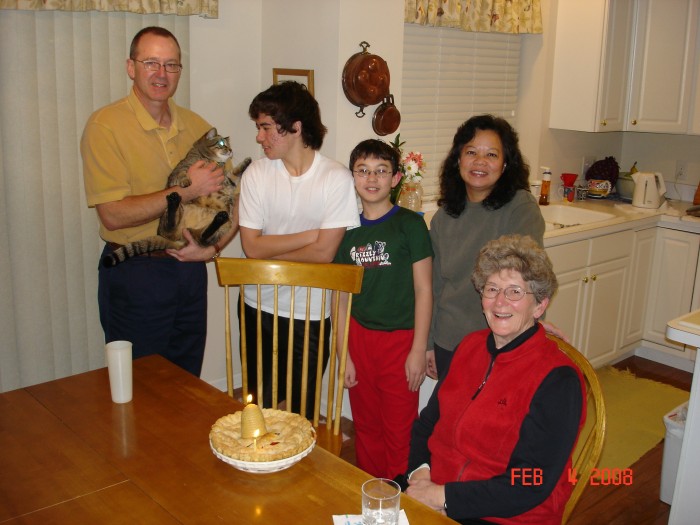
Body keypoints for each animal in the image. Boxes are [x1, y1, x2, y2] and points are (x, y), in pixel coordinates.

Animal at [101, 127, 249, 266]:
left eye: (229, 145)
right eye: (222, 143)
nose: (230, 150)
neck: (211, 160)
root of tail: (180, 239)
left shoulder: (227, 182)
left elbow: (235, 173)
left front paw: (247, 161)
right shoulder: (180, 171)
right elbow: (182, 174)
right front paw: (186, 181)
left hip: (224, 227)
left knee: (203, 238)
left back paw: (218, 218)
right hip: (177, 210)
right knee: (171, 226)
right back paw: (174, 202)